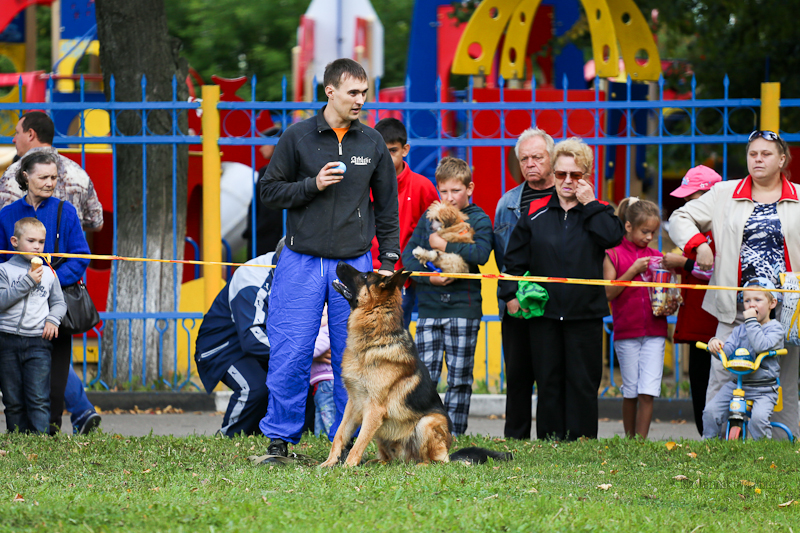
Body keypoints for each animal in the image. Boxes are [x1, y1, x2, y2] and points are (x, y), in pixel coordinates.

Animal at [319, 263, 512, 467]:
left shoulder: (374, 410)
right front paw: (329, 463)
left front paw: (347, 466)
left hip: (428, 422)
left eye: (364, 276)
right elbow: (340, 434)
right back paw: (378, 462)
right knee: (390, 458)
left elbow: (359, 442)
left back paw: (420, 465)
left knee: (435, 461)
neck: (374, 339)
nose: (339, 263)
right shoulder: (353, 404)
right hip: (384, 436)